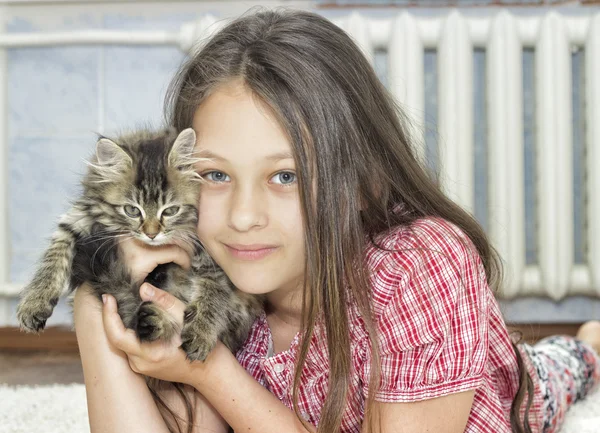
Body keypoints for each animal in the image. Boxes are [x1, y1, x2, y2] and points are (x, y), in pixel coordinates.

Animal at [14, 128, 262, 362]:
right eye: (132, 210)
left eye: (170, 211)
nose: (151, 234)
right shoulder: (80, 216)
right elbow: (54, 255)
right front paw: (34, 300)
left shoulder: (211, 256)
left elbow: (214, 292)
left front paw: (201, 332)